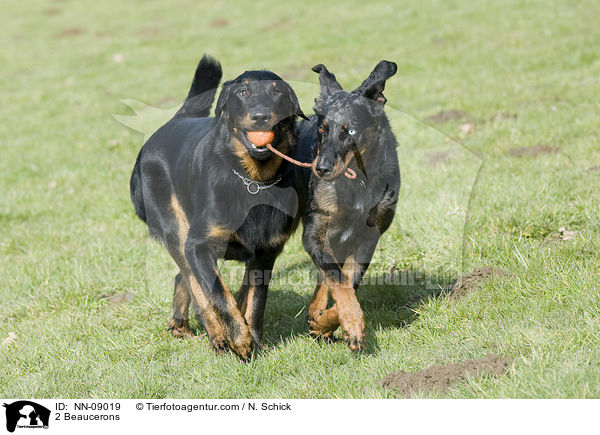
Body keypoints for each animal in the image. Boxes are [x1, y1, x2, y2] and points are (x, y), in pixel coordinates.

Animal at [132, 55, 310, 362]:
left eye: (277, 92)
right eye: (243, 92)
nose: (261, 116)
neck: (253, 180)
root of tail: (176, 120)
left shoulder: (265, 252)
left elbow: (255, 303)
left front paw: (256, 341)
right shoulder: (198, 246)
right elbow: (218, 295)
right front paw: (240, 340)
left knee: (185, 278)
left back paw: (181, 325)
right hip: (176, 230)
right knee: (195, 284)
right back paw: (218, 338)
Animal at [298, 60, 400, 350]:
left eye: (351, 130)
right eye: (323, 129)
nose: (320, 169)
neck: (356, 182)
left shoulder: (368, 236)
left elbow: (349, 280)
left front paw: (327, 322)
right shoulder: (315, 231)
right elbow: (337, 278)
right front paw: (351, 321)